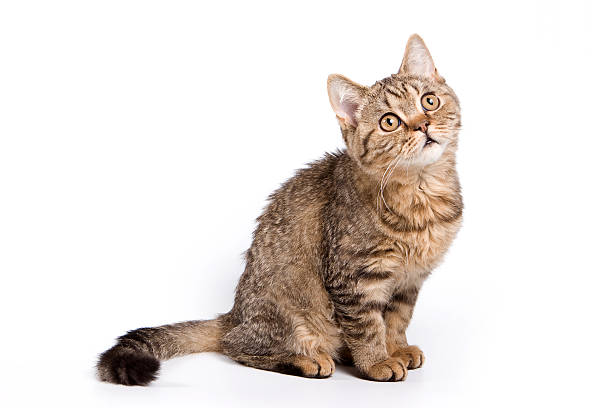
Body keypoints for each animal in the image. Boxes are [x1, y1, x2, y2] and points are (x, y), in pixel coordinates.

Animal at [97, 33, 460, 384]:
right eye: (390, 122)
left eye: (429, 101)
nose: (422, 125)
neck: (421, 192)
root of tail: (234, 314)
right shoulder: (353, 278)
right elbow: (368, 327)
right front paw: (377, 361)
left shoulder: (409, 282)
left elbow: (397, 320)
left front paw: (396, 348)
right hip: (292, 318)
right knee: (236, 345)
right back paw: (305, 360)